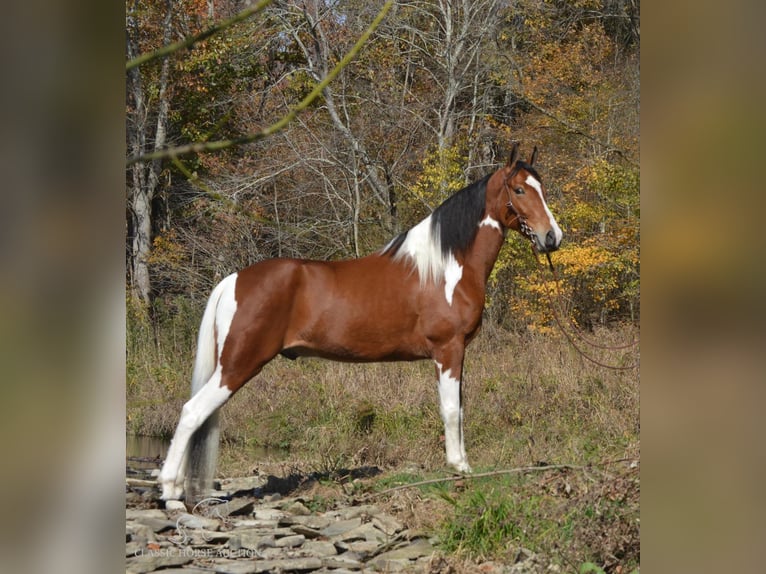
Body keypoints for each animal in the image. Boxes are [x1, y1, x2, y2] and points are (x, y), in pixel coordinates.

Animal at [159, 145, 564, 504]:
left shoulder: (456, 354)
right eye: (519, 190)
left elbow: (460, 408)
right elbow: (450, 410)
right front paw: (458, 467)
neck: (445, 267)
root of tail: (235, 279)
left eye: (541, 187)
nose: (552, 237)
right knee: (192, 412)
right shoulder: (448, 349)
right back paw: (169, 490)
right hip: (238, 364)